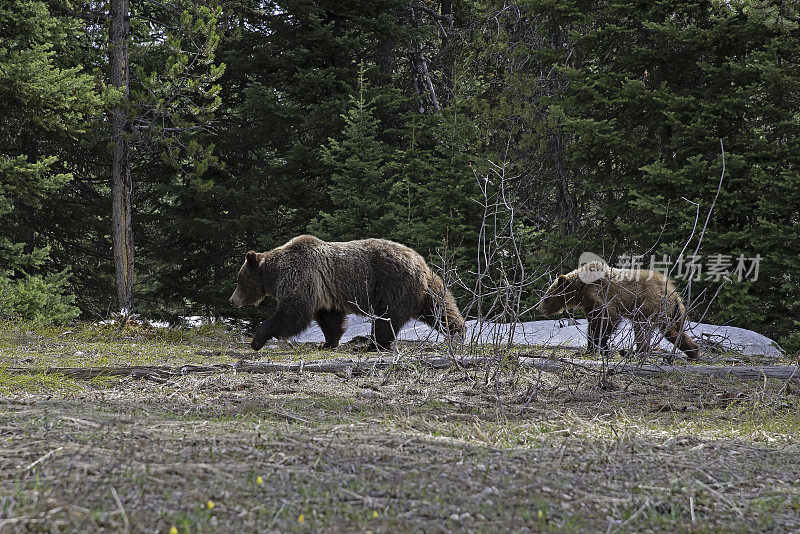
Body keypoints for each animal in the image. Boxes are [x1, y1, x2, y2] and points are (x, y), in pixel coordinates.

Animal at [228, 237, 462, 354]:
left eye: (239, 280)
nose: (232, 300)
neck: (275, 273)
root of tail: (419, 262)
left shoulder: (300, 276)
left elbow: (293, 312)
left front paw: (257, 340)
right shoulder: (324, 291)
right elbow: (329, 319)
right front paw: (327, 343)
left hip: (392, 284)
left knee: (386, 319)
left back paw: (372, 345)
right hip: (425, 289)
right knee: (440, 307)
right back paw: (458, 332)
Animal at [536, 262, 700, 362]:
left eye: (547, 298)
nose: (538, 309)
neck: (581, 290)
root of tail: (673, 292)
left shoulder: (601, 296)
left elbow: (608, 319)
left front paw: (599, 347)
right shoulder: (589, 306)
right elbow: (593, 324)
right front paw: (592, 349)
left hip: (648, 306)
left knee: (643, 329)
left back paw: (632, 352)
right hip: (671, 312)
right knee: (673, 332)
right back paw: (694, 351)